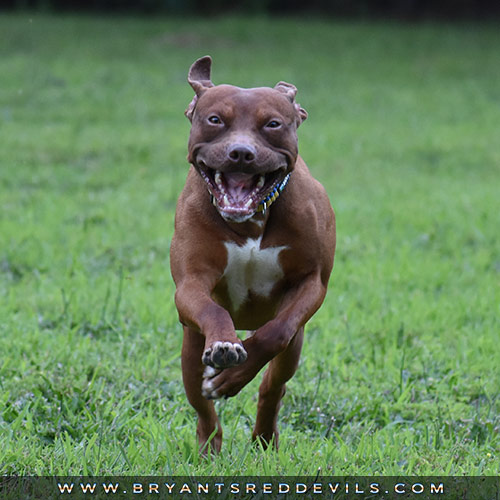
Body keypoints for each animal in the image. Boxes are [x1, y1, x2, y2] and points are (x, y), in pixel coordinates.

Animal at [169, 55, 336, 454]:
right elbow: (212, 309)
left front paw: (231, 377)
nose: (242, 153)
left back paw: (263, 438)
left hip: (293, 351)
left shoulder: (311, 283)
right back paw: (209, 446)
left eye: (273, 124)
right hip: (190, 348)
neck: (251, 222)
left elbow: (276, 333)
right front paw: (226, 346)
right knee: (202, 404)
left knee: (273, 386)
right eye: (215, 119)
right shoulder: (190, 284)